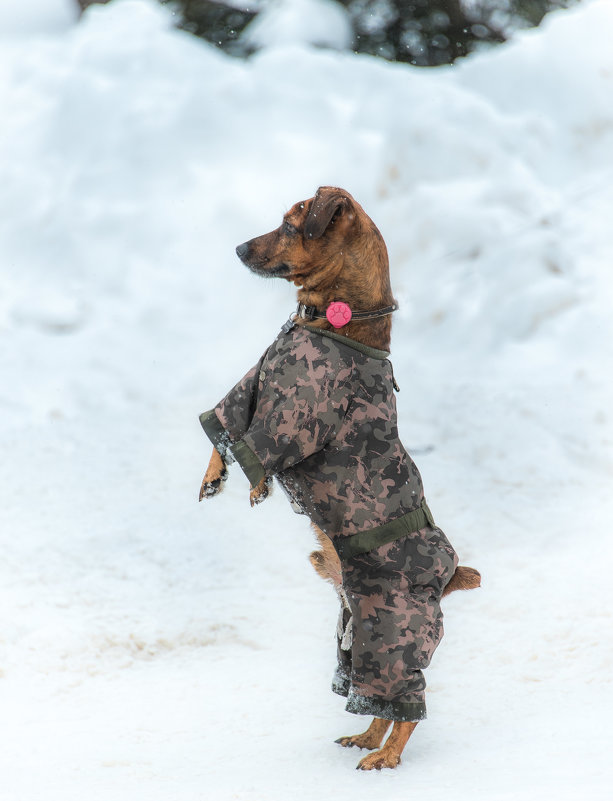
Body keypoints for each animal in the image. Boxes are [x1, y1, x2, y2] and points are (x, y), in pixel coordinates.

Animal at [198, 188, 480, 768]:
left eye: (290, 225)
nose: (238, 248)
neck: (332, 322)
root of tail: (449, 576)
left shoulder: (290, 417)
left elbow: (253, 445)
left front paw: (254, 484)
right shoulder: (255, 382)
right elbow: (224, 426)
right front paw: (215, 477)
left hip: (389, 628)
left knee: (407, 700)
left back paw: (386, 756)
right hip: (352, 635)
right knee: (371, 696)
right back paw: (367, 737)